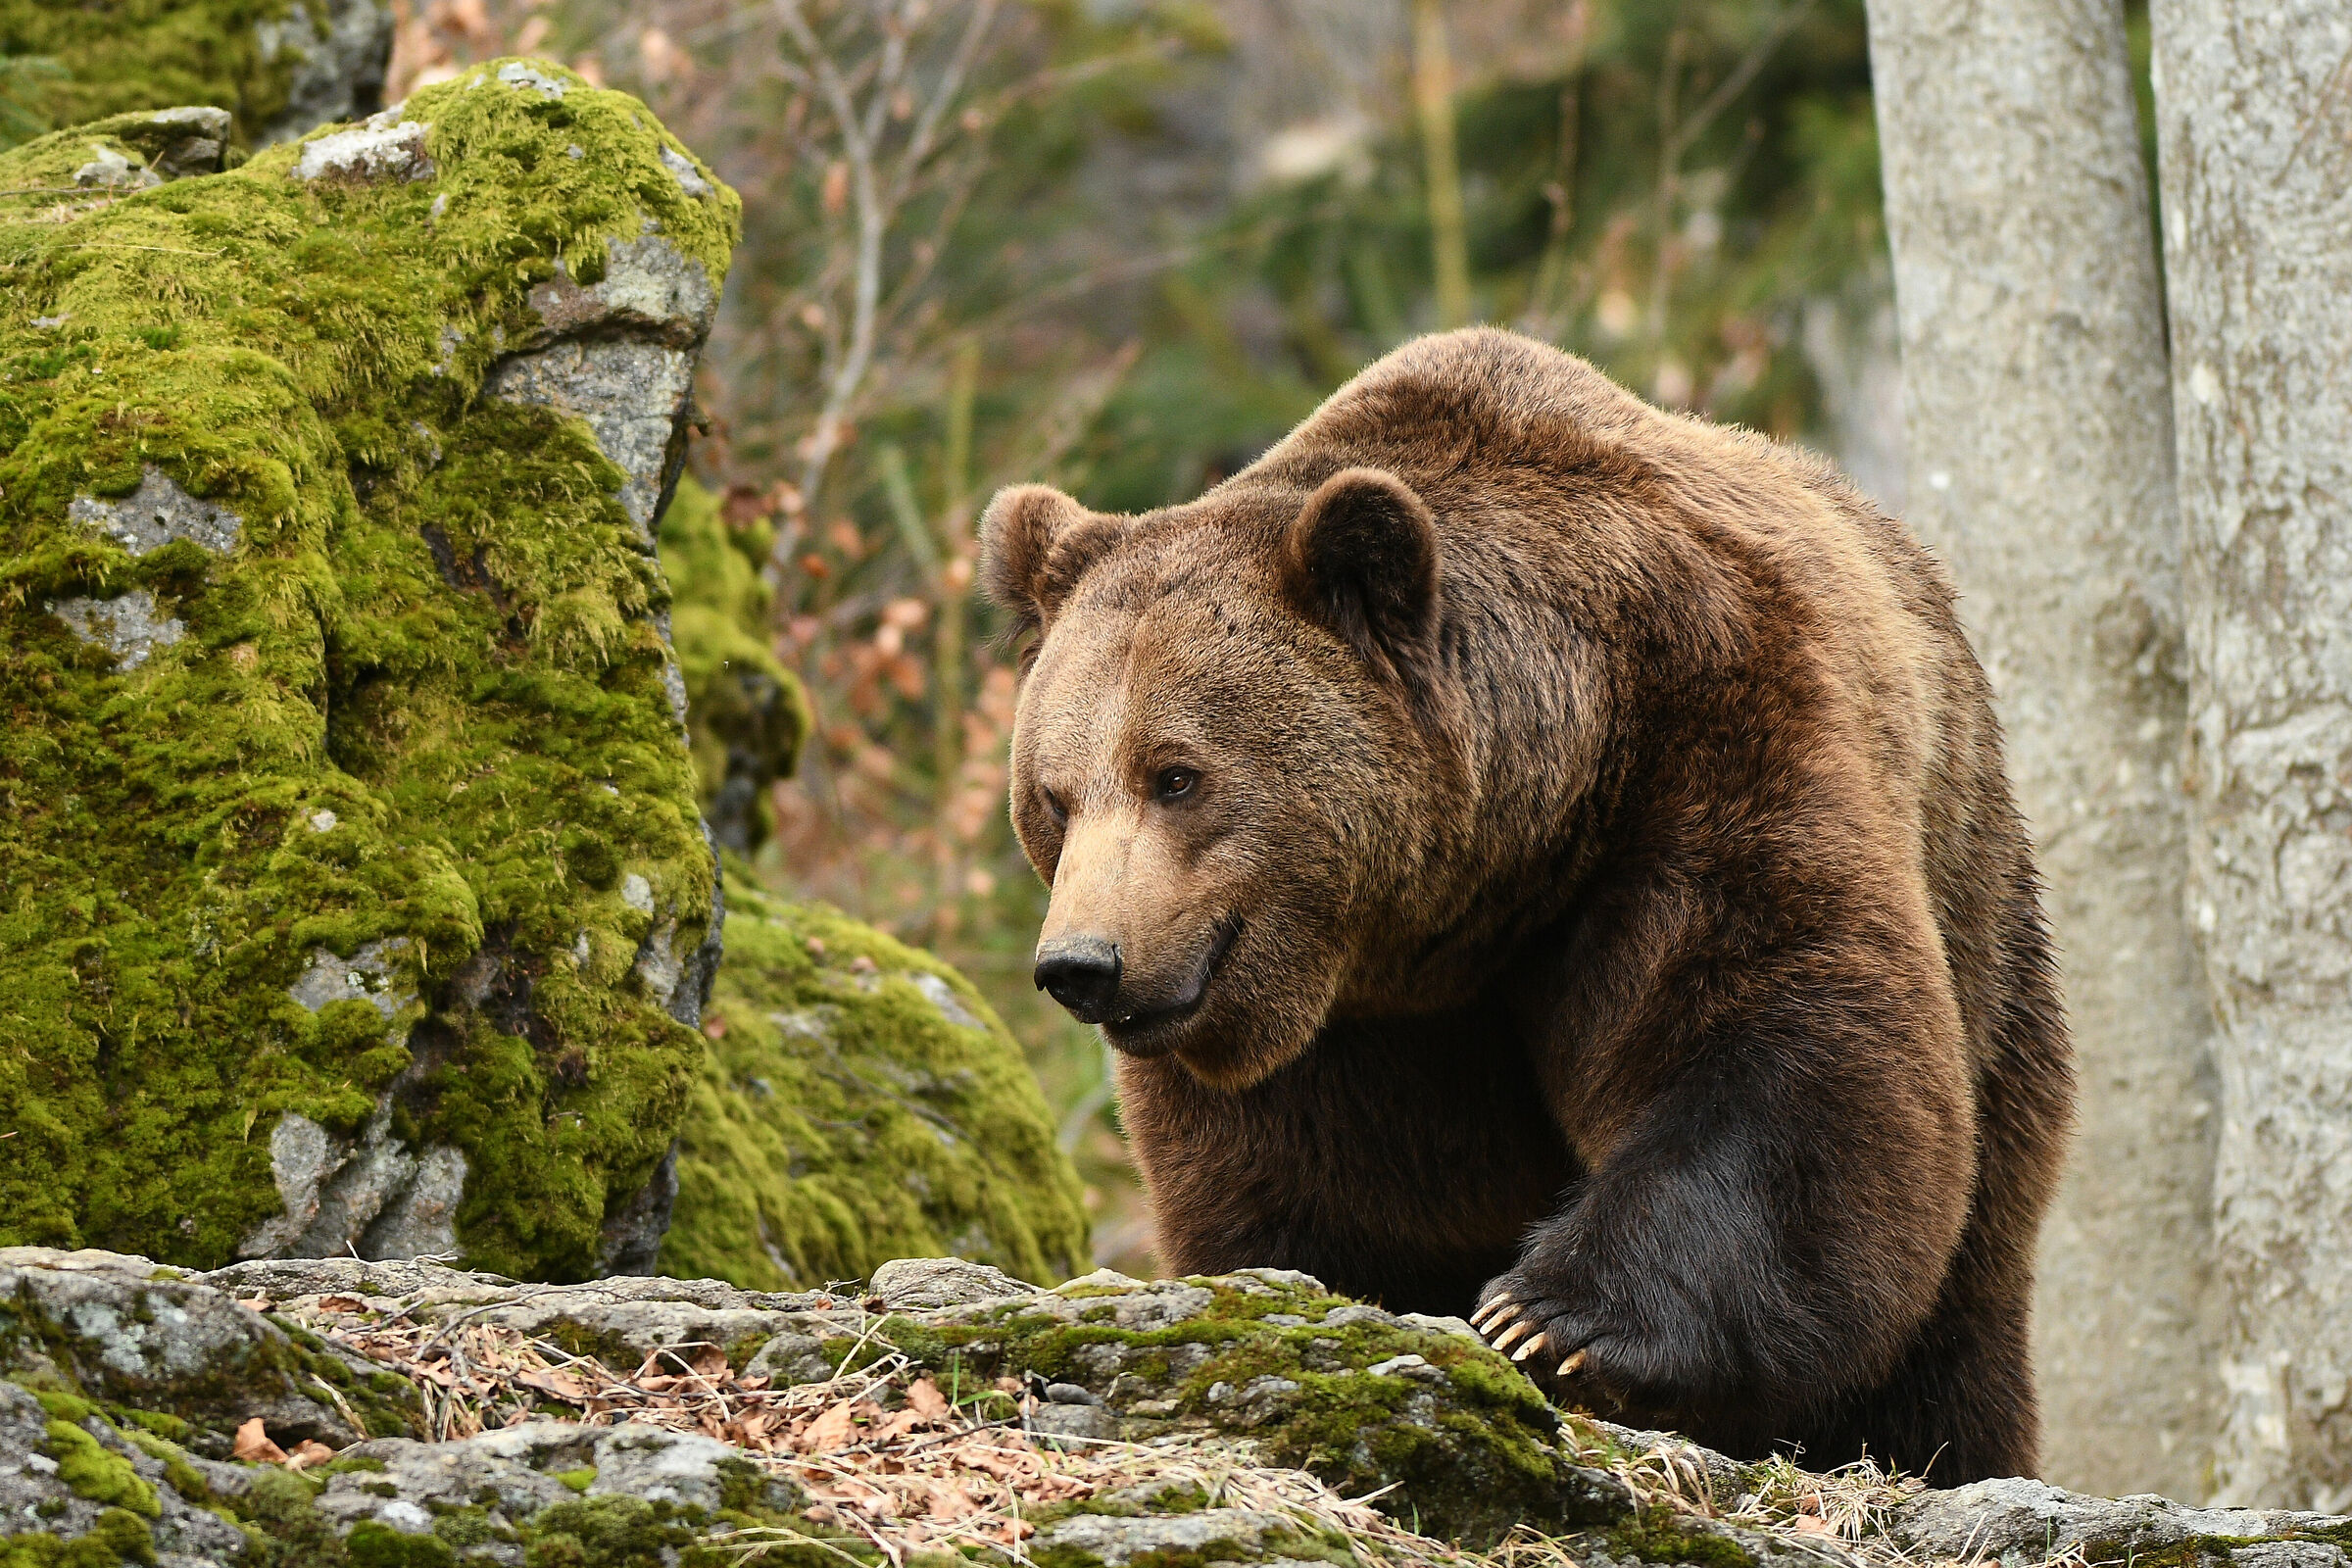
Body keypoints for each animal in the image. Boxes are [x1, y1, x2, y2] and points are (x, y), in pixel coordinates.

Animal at [979, 327, 2073, 1483]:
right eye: (1054, 796)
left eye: (1175, 774)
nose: (1083, 963)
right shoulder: (1362, 1035)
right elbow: (1315, 1198)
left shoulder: (1712, 746)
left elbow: (1785, 1038)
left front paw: (1549, 1317)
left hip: (1988, 938)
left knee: (1956, 1310)